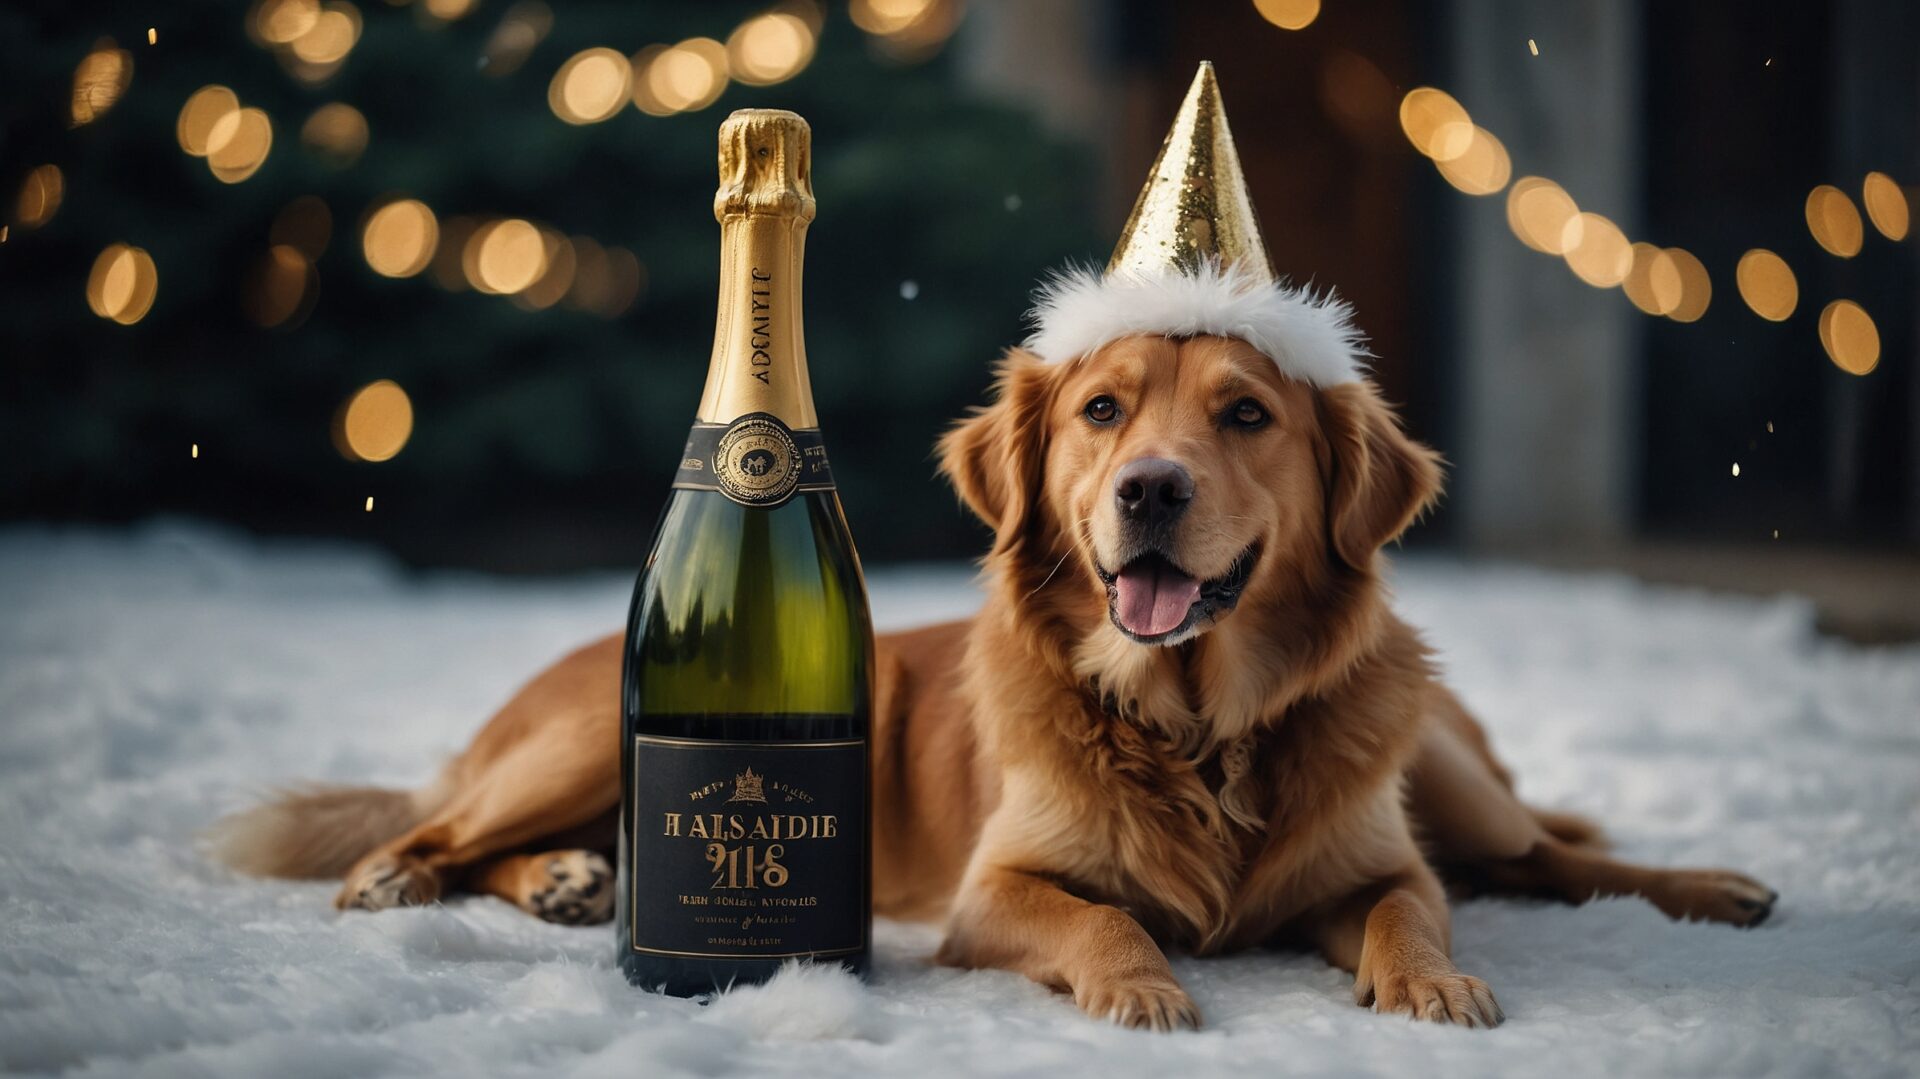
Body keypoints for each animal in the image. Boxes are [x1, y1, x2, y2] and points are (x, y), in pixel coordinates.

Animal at [210, 334, 1766, 1021]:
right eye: (1102, 409)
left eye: (1246, 415)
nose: (1149, 488)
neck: (1197, 726)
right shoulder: (992, 892)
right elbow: (1101, 918)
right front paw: (1143, 986)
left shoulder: (1382, 861)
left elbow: (1412, 908)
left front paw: (1433, 983)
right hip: (585, 740)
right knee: (446, 830)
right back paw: (456, 876)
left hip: (1442, 761)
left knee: (1549, 856)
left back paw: (1716, 887)